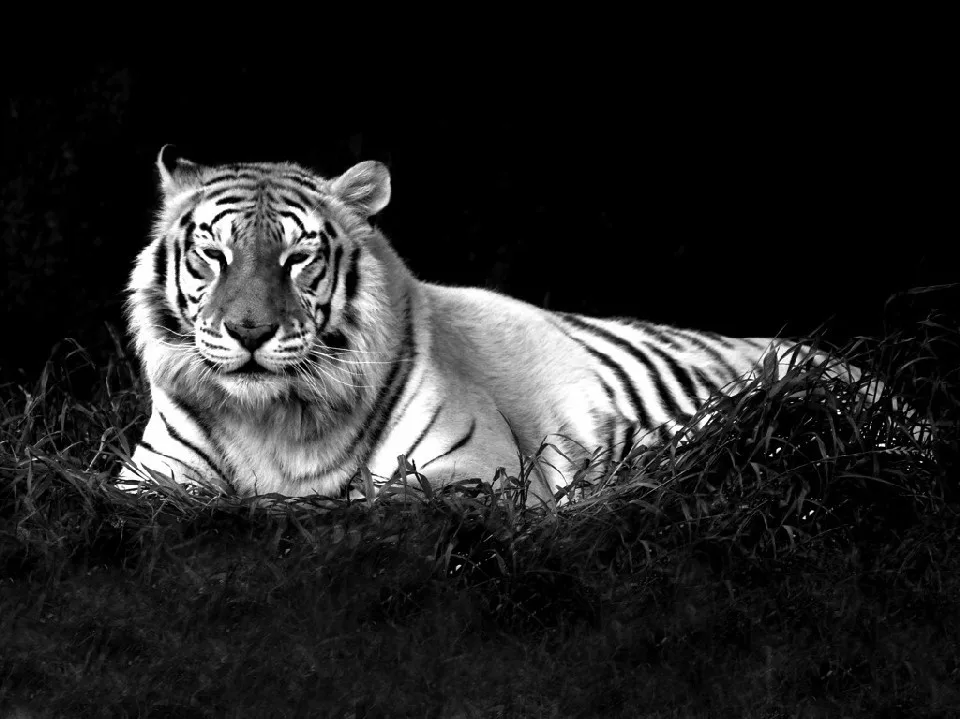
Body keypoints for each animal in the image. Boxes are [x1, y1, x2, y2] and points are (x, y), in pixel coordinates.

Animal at [120, 146, 902, 508]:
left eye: (297, 256)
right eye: (215, 254)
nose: (249, 331)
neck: (275, 420)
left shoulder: (472, 472)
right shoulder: (149, 481)